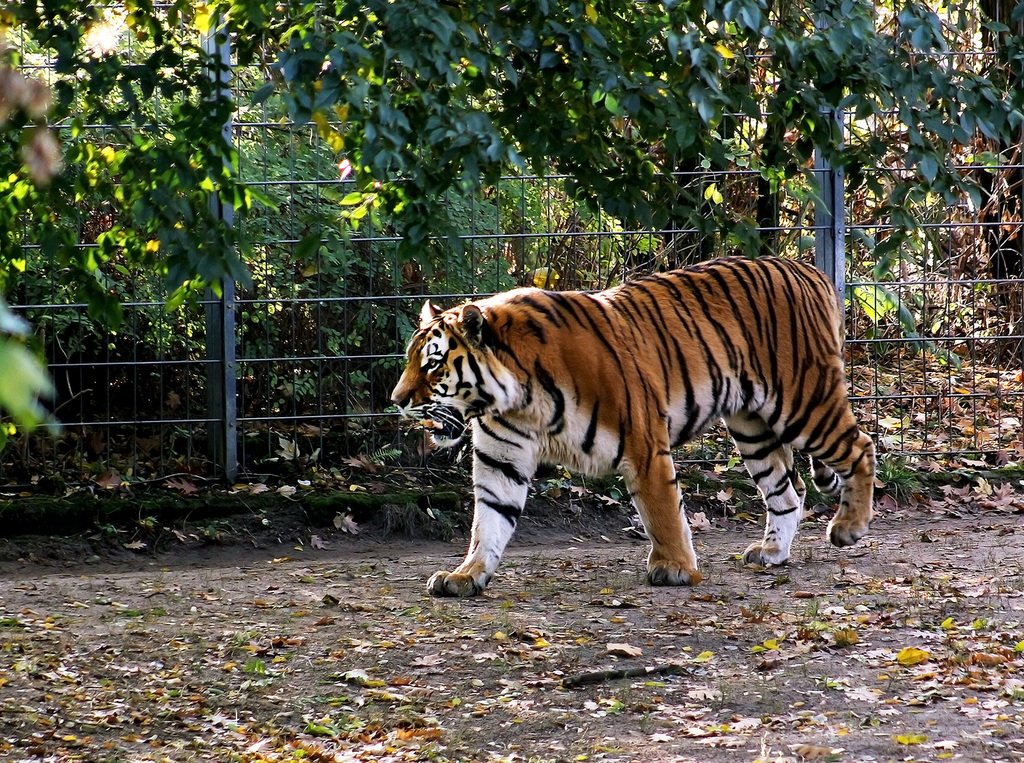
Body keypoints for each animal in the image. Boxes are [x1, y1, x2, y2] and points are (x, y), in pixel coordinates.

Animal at [389, 256, 872, 594]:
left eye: (432, 366)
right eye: (412, 361)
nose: (396, 401)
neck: (516, 400)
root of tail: (809, 270)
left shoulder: (644, 443)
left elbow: (663, 511)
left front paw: (674, 567)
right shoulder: (500, 459)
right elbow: (487, 522)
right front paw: (465, 575)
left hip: (803, 401)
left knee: (860, 446)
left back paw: (849, 528)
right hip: (752, 425)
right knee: (788, 490)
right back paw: (771, 551)